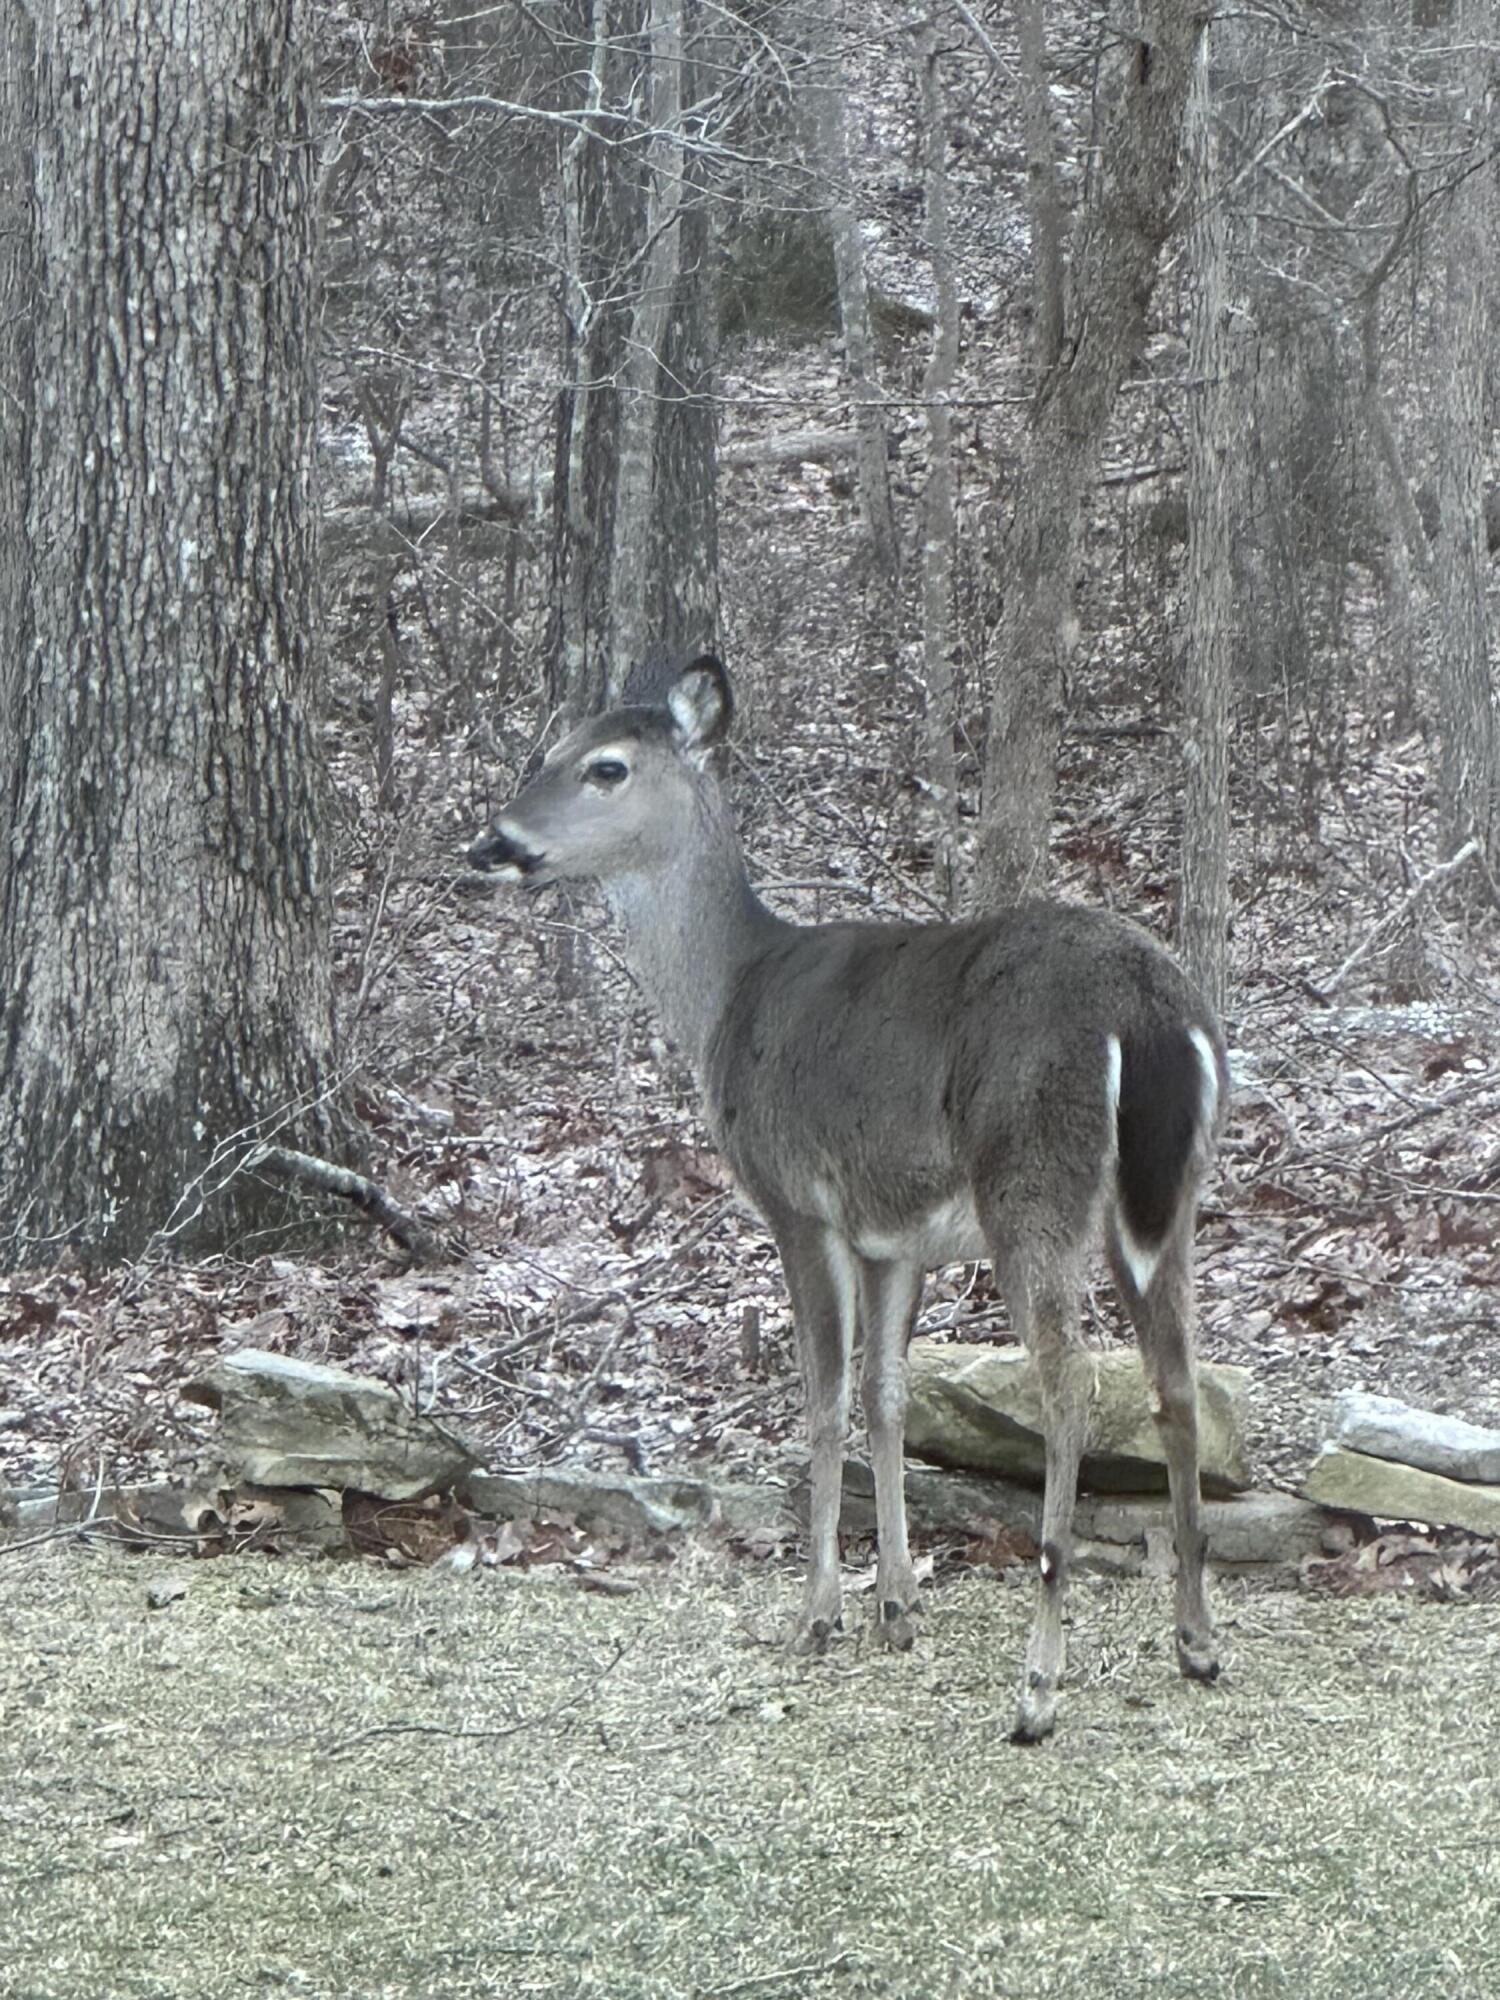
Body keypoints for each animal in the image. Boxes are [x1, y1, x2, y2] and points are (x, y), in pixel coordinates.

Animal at [468, 653, 1228, 1742]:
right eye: (547, 748)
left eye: (605, 765)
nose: (492, 842)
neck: (727, 998)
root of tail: (1150, 1009)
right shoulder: (892, 1236)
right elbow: (886, 1397)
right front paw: (899, 1604)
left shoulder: (800, 1201)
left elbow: (822, 1400)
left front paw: (818, 1612)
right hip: (1172, 1196)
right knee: (1176, 1379)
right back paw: (1197, 1641)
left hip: (1032, 1178)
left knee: (1074, 1382)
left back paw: (1038, 1685)